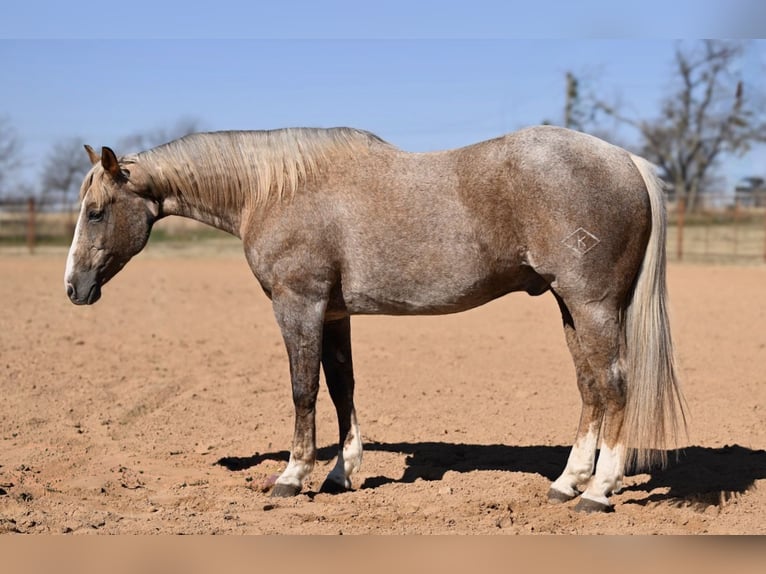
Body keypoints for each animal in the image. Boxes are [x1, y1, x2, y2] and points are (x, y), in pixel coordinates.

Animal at [64, 125, 685, 512]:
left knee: (614, 386)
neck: (277, 190)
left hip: (592, 306)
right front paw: (342, 473)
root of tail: (625, 160)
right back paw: (566, 483)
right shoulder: (334, 313)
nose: (73, 288)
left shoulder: (298, 305)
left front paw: (292, 476)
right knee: (590, 388)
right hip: (569, 307)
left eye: (95, 212)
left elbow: (303, 390)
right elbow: (342, 388)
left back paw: (598, 491)